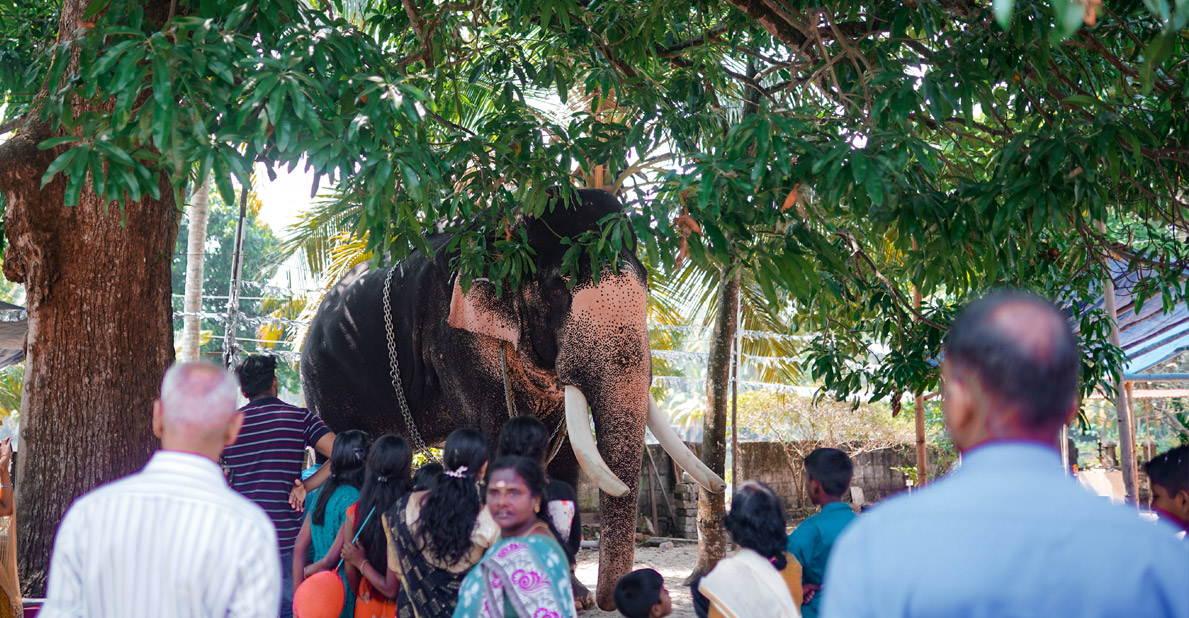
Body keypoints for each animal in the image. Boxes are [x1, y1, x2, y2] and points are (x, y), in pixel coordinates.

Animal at [299, 188, 722, 613]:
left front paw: (575, 596)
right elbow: (497, 436)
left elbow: (564, 456)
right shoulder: (456, 337)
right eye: (559, 289)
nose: (619, 596)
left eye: (648, 284)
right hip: (323, 380)